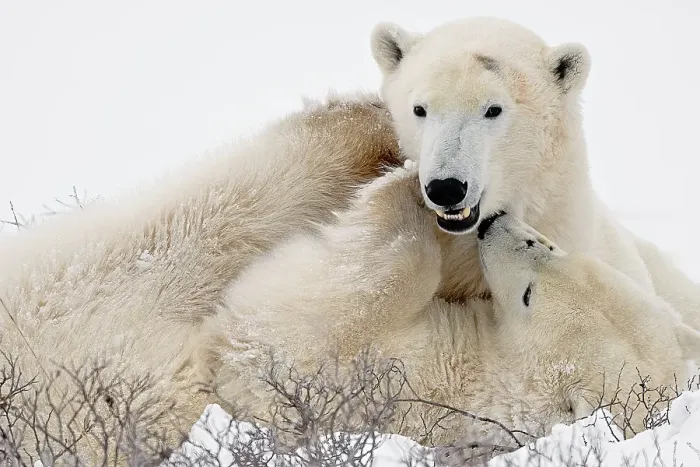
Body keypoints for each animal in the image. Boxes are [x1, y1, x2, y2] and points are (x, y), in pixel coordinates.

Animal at [196, 163, 700, 447]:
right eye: (552, 248)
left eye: (528, 295)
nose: (496, 224)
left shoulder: (384, 371)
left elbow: (362, 296)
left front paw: (404, 186)